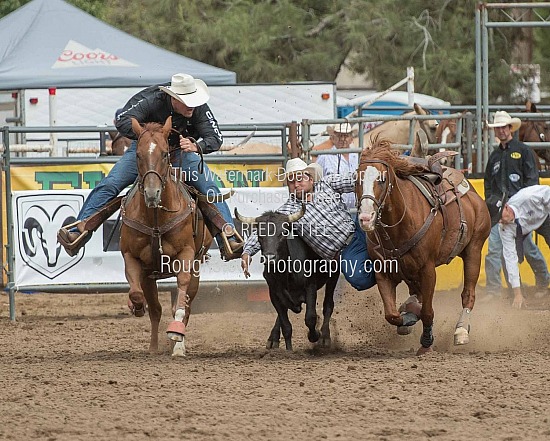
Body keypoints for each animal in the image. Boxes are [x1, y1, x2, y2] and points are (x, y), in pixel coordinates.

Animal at [121, 117, 213, 358]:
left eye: (164, 154)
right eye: (138, 155)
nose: (152, 194)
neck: (155, 219)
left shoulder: (186, 254)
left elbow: (182, 293)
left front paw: (176, 335)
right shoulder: (132, 258)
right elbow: (139, 296)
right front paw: (136, 307)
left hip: (197, 267)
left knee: (186, 304)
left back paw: (178, 343)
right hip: (149, 275)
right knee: (156, 309)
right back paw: (154, 346)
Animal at [358, 139, 492, 356]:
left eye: (382, 179)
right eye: (357, 179)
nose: (365, 218)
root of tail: (472, 193)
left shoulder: (428, 270)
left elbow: (428, 311)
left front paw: (427, 342)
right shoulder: (383, 273)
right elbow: (392, 314)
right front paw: (408, 318)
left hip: (474, 249)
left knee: (468, 294)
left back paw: (461, 330)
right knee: (416, 294)